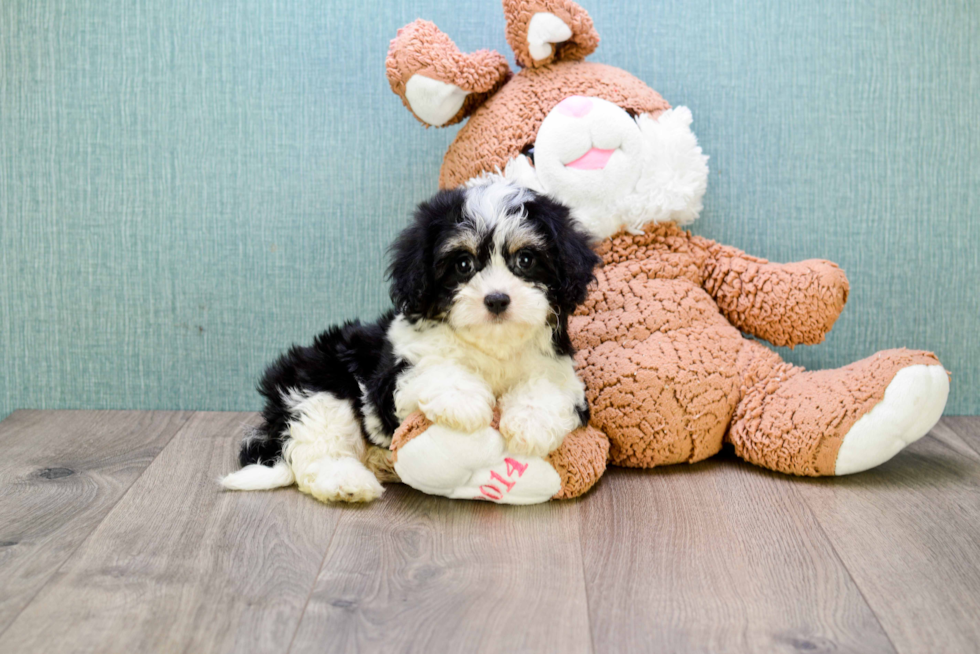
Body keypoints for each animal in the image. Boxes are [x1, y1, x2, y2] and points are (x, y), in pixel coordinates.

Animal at [223, 177, 600, 504]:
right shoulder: (394, 379)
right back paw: (347, 482)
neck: (492, 346)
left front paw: (531, 423)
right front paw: (462, 400)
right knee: (318, 446)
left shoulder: (561, 371)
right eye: (463, 264)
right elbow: (433, 369)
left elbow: (548, 385)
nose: (496, 299)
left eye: (525, 259)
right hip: (319, 386)